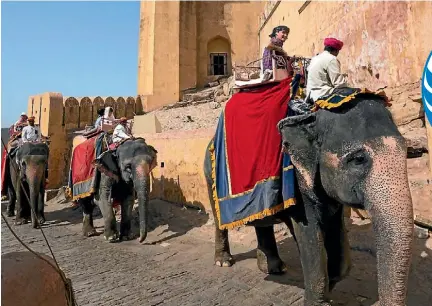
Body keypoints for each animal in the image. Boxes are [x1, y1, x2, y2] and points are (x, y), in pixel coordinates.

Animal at [204, 96, 414, 306]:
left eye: (406, 151)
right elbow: (309, 234)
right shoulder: (297, 183)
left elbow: (340, 254)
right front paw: (319, 300)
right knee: (219, 219)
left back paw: (275, 268)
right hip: (210, 175)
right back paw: (224, 261)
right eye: (358, 159)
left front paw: (328, 289)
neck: (311, 117)